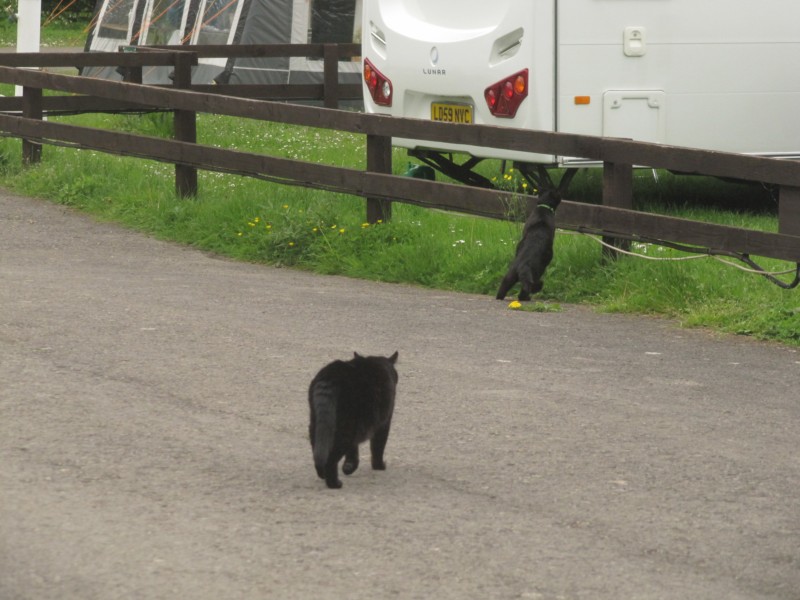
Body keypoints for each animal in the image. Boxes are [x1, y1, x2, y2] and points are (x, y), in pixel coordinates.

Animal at [308, 352, 398, 488]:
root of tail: (330, 376)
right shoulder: (384, 423)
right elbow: (378, 446)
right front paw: (379, 466)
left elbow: (352, 450)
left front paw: (348, 467)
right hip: (346, 429)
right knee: (331, 458)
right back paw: (334, 484)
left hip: (317, 423)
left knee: (318, 450)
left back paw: (322, 474)